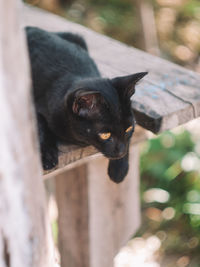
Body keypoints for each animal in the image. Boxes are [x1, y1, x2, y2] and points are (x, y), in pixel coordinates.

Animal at [25, 26, 147, 183]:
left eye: (129, 129)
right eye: (105, 135)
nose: (121, 152)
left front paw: (119, 169)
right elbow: (40, 124)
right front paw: (48, 155)